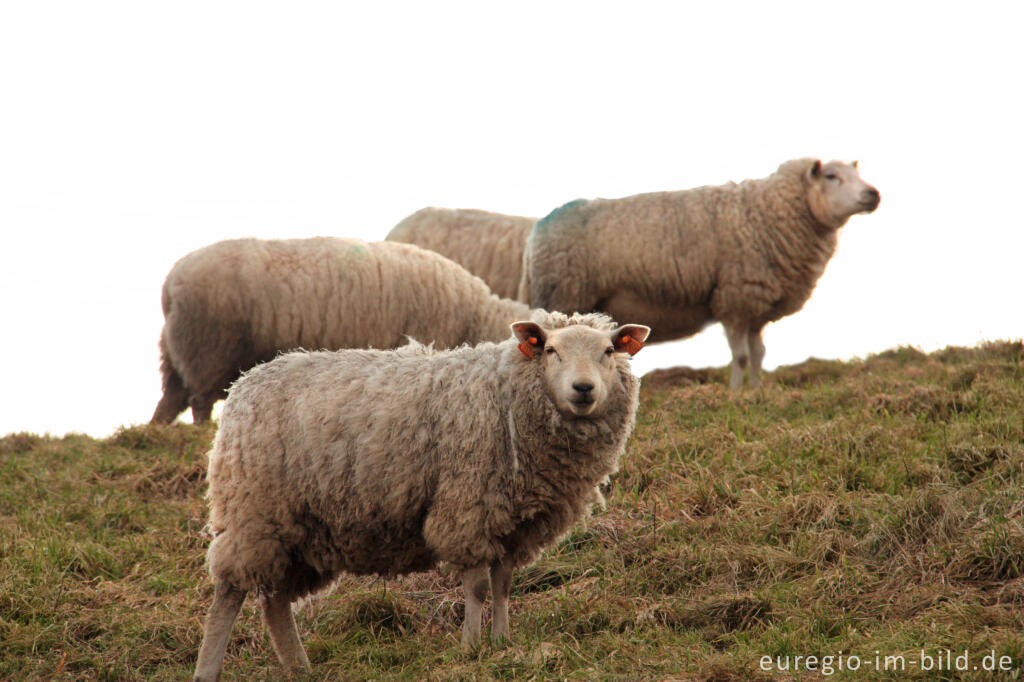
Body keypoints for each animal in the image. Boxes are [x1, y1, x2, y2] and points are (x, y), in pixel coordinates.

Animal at [152, 236, 536, 421]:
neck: (476, 313)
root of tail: (171, 282)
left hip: (176, 353)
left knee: (169, 402)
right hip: (208, 348)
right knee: (199, 402)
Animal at [191, 309, 647, 679]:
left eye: (609, 350)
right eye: (551, 350)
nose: (583, 389)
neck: (510, 392)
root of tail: (243, 384)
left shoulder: (513, 522)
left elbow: (502, 584)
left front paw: (502, 642)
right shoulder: (468, 506)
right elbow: (477, 587)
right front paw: (470, 646)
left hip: (297, 527)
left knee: (274, 601)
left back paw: (299, 667)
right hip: (253, 510)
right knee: (230, 593)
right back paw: (208, 669)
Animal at [520, 155, 880, 385]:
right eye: (832, 177)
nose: (873, 194)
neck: (767, 214)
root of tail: (537, 230)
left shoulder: (755, 307)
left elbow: (759, 354)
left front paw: (757, 391)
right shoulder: (734, 299)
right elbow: (741, 356)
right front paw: (736, 395)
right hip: (564, 293)